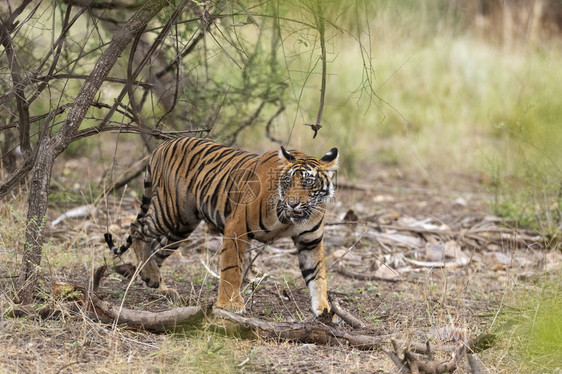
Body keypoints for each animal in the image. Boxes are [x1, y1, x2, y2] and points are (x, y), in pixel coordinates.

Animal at [104, 136, 336, 318]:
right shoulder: (236, 227)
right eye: (287, 182)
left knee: (156, 250)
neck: (288, 218)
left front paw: (324, 310)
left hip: (181, 227)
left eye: (308, 183)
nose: (293, 203)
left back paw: (156, 283)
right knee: (137, 228)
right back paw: (152, 276)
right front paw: (230, 304)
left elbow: (317, 275)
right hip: (169, 211)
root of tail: (163, 145)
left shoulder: (310, 241)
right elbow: (232, 269)